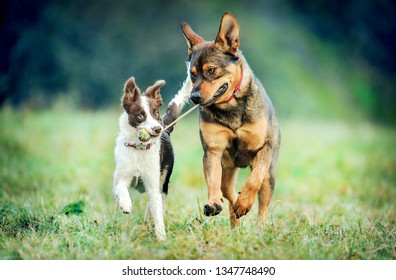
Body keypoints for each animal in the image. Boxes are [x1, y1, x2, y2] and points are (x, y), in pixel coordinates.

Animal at [181, 12, 280, 226]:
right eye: (192, 75)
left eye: (211, 70)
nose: (194, 98)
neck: (230, 107)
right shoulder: (213, 151)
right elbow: (212, 182)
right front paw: (214, 202)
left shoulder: (264, 148)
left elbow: (254, 179)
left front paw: (245, 203)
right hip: (227, 169)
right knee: (227, 192)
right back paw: (233, 213)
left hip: (270, 174)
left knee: (263, 204)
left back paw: (258, 225)